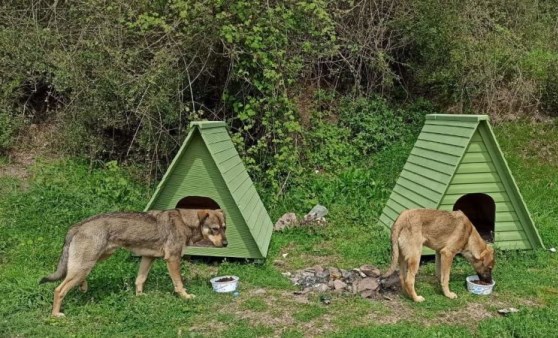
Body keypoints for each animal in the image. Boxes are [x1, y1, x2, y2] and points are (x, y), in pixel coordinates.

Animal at [39, 209, 229, 316]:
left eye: (224, 228)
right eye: (214, 229)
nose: (227, 244)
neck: (185, 221)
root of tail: (77, 226)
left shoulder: (148, 258)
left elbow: (140, 279)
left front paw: (139, 296)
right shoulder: (173, 259)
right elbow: (179, 283)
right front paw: (185, 297)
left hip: (94, 260)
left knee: (71, 276)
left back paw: (83, 287)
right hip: (86, 264)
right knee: (59, 290)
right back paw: (56, 314)